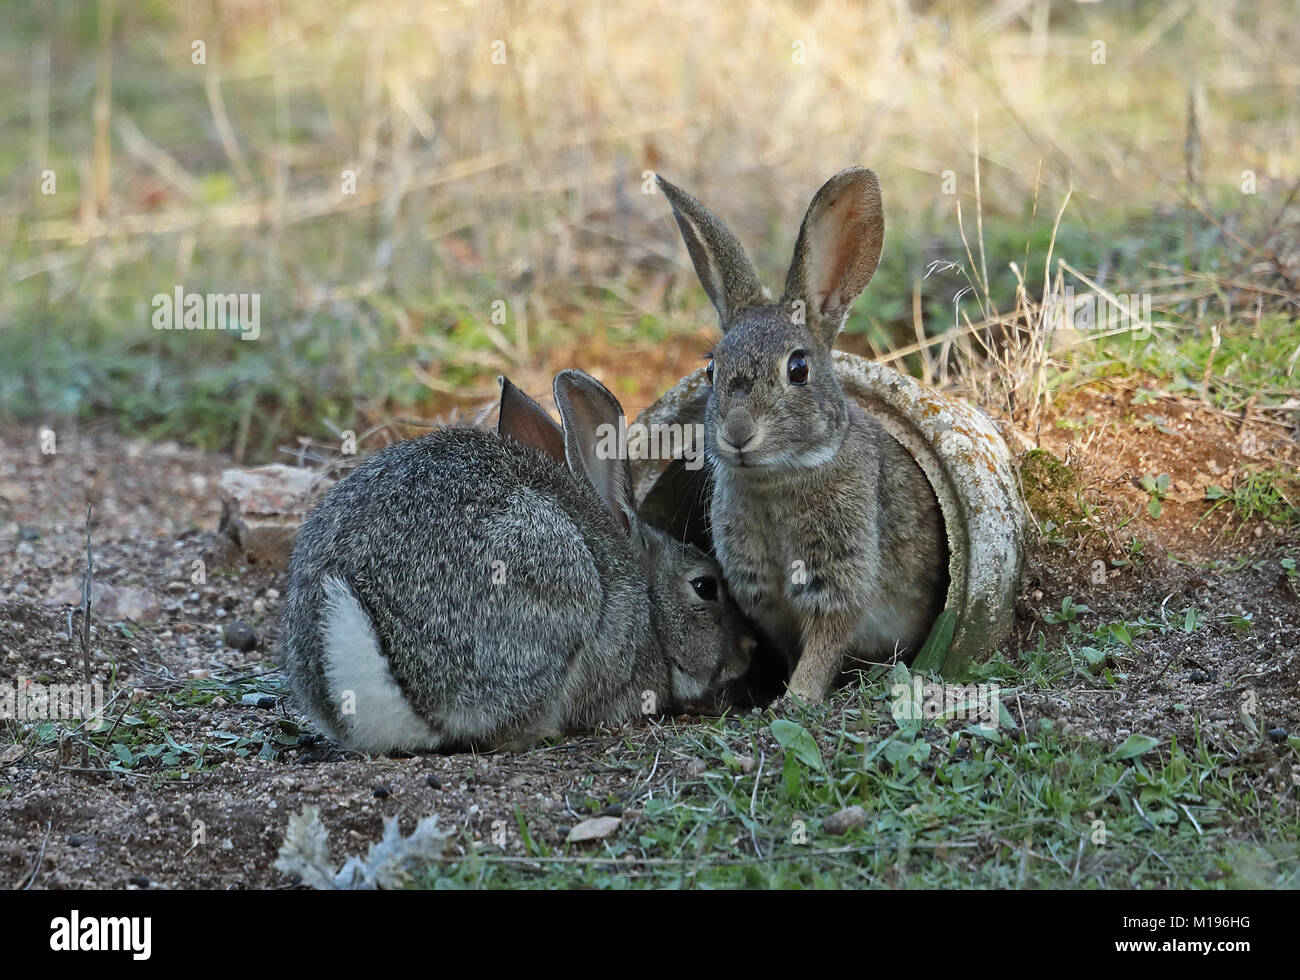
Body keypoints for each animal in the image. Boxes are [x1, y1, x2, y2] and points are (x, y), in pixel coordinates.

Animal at [660, 170, 946, 701]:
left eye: (798, 369)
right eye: (711, 369)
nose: (737, 434)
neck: (779, 479)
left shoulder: (839, 579)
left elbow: (825, 643)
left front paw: (798, 698)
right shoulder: (766, 596)